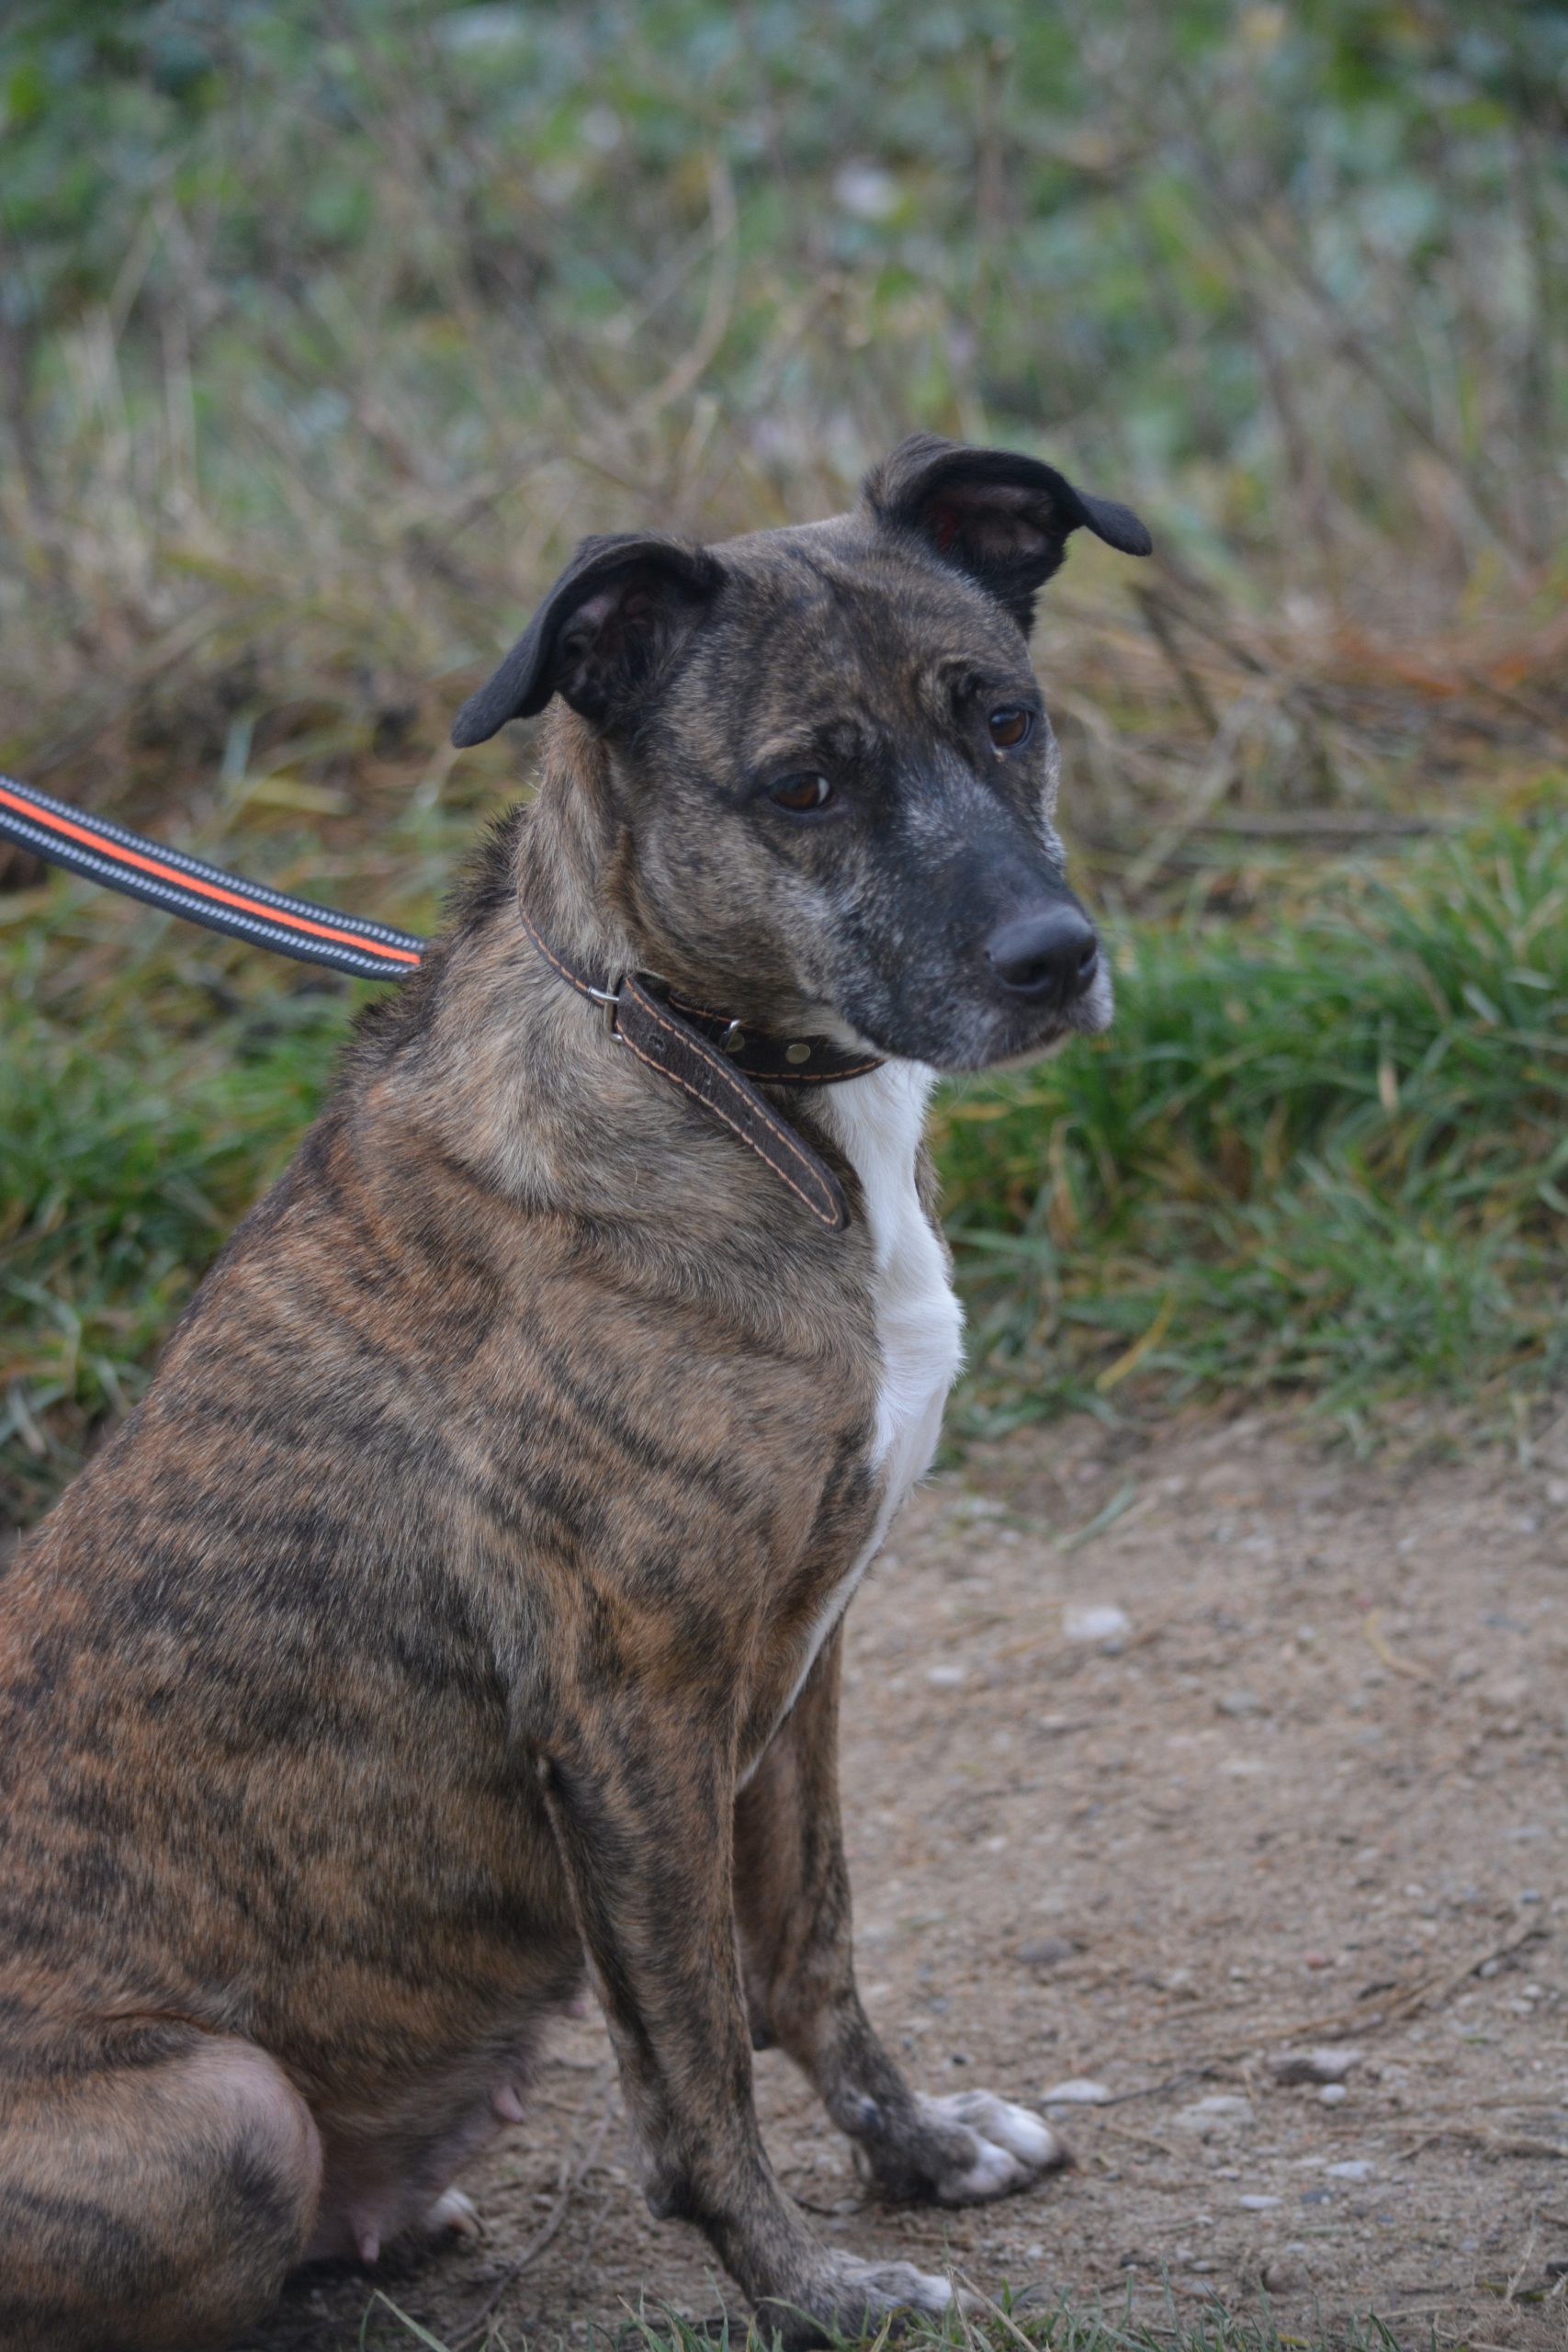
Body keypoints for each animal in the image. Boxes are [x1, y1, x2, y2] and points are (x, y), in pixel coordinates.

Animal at [0, 435, 1149, 2351]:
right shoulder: (629, 1717)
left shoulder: (799, 1659)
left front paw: (918, 2153)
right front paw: (806, 2289)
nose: (1052, 960)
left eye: (1002, 717)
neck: (701, 1064)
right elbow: (693, 2064)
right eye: (805, 786)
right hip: (223, 2108)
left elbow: (808, 1954)